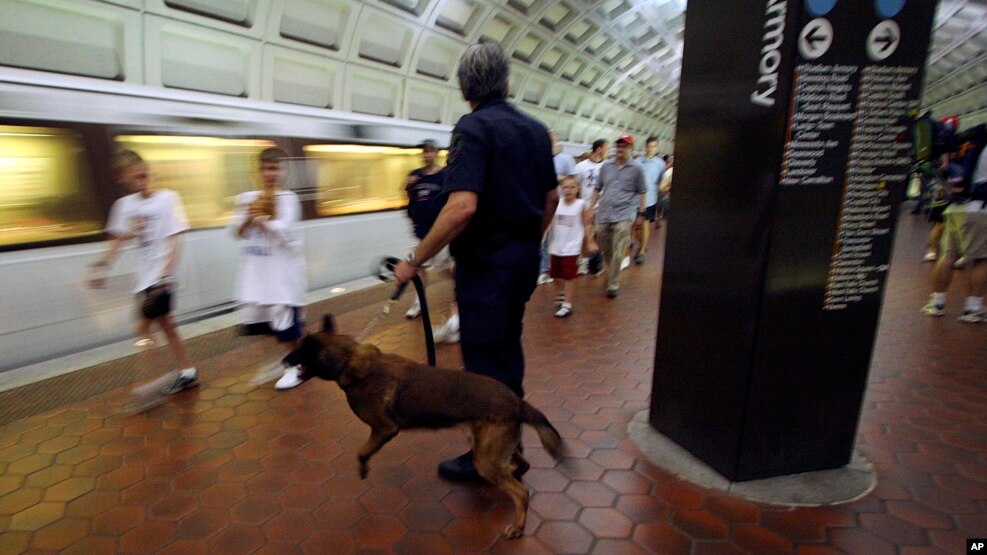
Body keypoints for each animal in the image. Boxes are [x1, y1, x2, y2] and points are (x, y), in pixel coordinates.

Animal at [286, 318, 564, 540]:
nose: (283, 360)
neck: (347, 359)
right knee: (521, 465)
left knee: (521, 493)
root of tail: (516, 401)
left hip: (486, 458)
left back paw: (517, 526)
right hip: (486, 446)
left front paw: (363, 468)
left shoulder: (384, 429)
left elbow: (361, 452)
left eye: (298, 350)